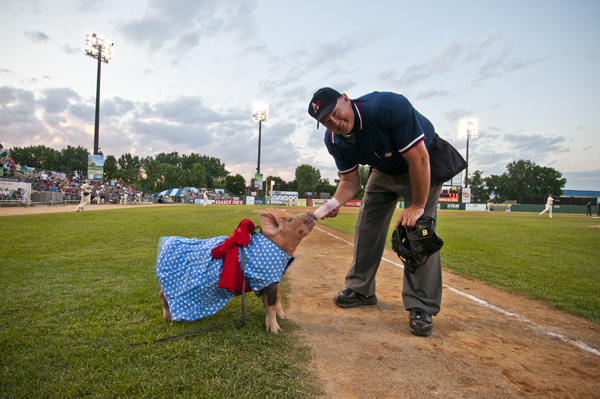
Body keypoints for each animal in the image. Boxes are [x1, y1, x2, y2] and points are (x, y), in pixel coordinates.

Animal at [155, 211, 316, 332]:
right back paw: (171, 319)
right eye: (289, 219)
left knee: (161, 294)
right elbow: (270, 305)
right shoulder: (266, 281)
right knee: (163, 296)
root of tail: (162, 248)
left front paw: (283, 318)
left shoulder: (275, 279)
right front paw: (276, 331)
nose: (309, 212)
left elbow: (276, 300)